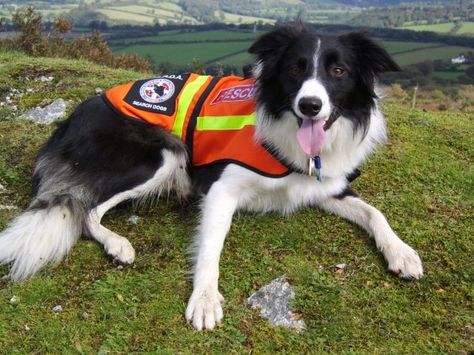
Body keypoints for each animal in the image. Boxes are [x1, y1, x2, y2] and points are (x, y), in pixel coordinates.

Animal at [0, 24, 422, 330]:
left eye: (338, 71)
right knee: (86, 210)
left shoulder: (327, 185)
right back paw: (118, 244)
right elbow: (211, 248)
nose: (310, 105)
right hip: (164, 155)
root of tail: (69, 120)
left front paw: (402, 252)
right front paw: (204, 299)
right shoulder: (221, 189)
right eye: (294, 69)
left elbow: (374, 212)